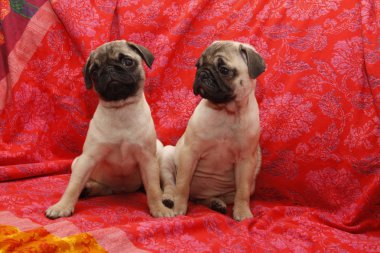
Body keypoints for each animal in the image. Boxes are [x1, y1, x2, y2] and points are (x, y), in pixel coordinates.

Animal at [45, 39, 174, 219]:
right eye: (94, 70)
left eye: (127, 62)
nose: (109, 69)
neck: (120, 109)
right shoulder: (88, 158)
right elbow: (73, 185)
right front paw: (63, 205)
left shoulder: (148, 159)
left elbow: (154, 188)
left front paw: (158, 208)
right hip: (77, 162)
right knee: (102, 187)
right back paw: (88, 189)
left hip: (160, 156)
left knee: (164, 184)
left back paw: (166, 198)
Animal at [159, 40, 266, 220]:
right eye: (198, 66)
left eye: (224, 70)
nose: (202, 74)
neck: (226, 112)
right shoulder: (190, 153)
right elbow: (182, 184)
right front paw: (179, 207)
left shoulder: (246, 161)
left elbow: (242, 192)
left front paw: (242, 212)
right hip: (167, 157)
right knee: (170, 185)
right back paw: (168, 199)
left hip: (246, 185)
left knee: (215, 197)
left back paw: (216, 203)